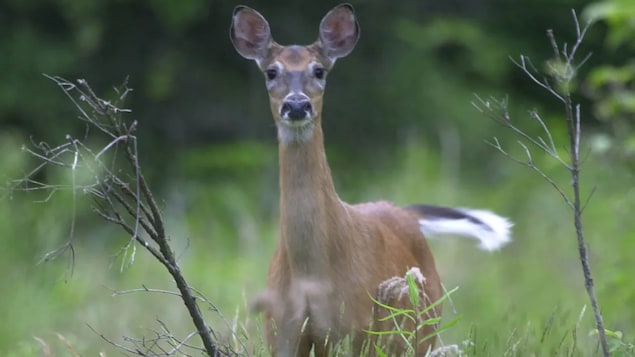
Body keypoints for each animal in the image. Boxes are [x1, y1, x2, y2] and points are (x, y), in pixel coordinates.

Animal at [231, 3, 516, 356]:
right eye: (271, 72)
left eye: (319, 71)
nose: (296, 104)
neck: (312, 275)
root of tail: (404, 211)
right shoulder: (281, 329)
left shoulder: (355, 328)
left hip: (420, 329)